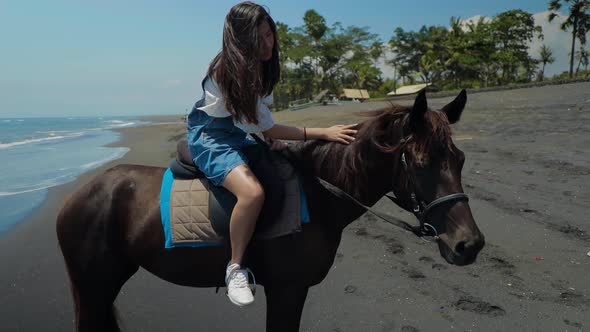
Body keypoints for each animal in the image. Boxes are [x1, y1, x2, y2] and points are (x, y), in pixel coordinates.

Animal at [56, 89, 486, 330]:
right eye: (420, 163)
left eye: (460, 159)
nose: (469, 244)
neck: (319, 192)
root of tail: (75, 196)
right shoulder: (287, 289)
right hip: (92, 285)